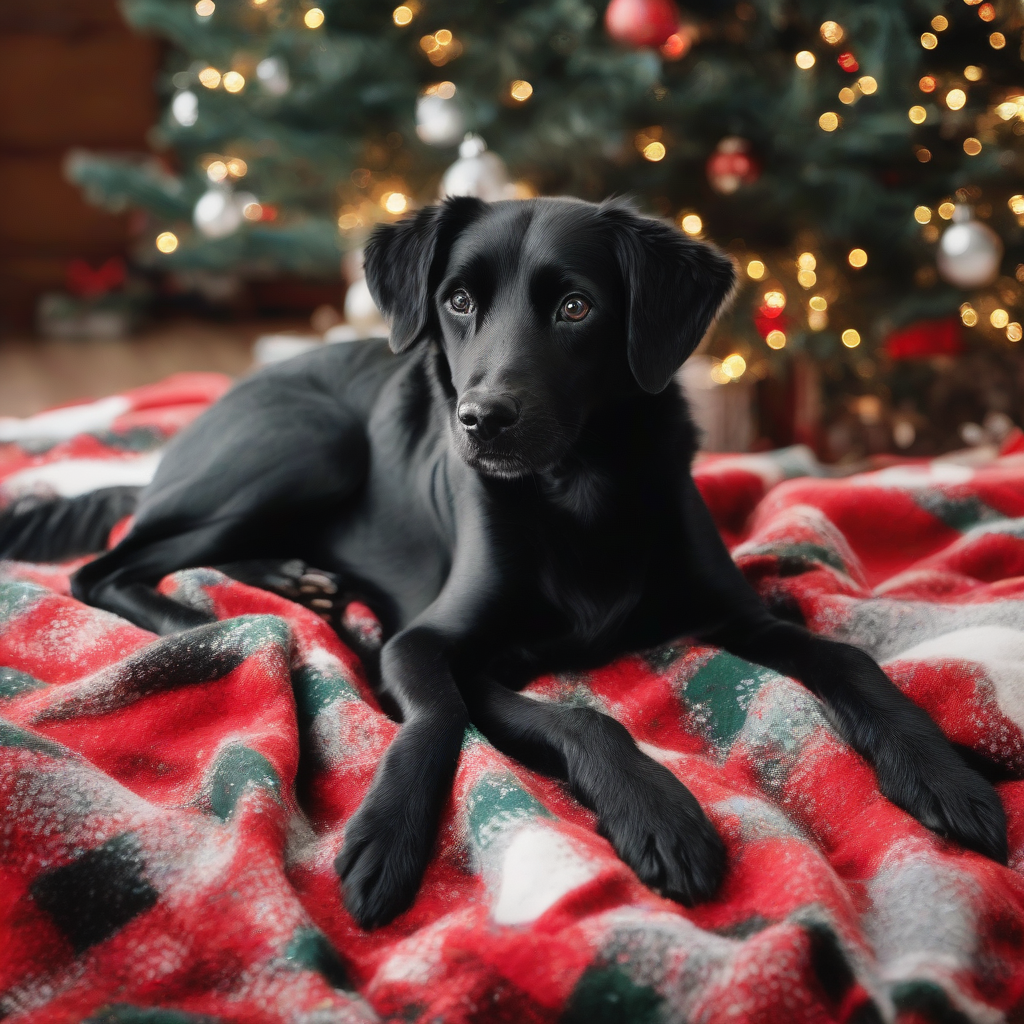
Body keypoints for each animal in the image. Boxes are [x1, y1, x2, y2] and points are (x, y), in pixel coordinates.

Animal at [2, 197, 1007, 929]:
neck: (579, 492)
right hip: (310, 444)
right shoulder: (431, 647)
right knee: (107, 566)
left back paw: (297, 586)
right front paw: (649, 815)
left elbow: (846, 658)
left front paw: (942, 776)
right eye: (457, 301)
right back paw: (229, 621)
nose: (480, 420)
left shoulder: (740, 614)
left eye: (576, 306)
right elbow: (499, 716)